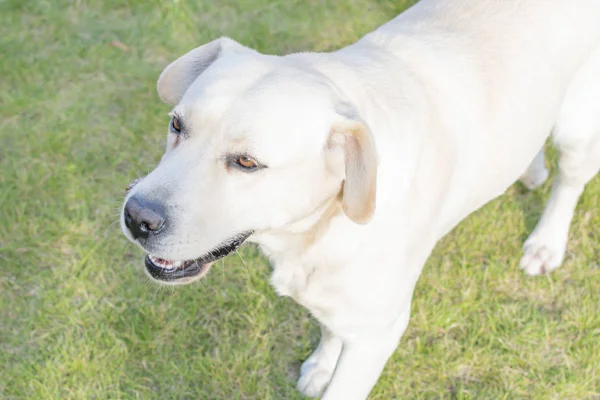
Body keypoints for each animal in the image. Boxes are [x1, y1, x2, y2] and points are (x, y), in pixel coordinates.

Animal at [119, 1, 600, 398]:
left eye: (246, 162)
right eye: (177, 125)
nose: (137, 217)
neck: (322, 224)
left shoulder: (379, 334)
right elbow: (332, 326)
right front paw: (323, 362)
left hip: (578, 132)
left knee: (569, 183)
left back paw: (546, 243)